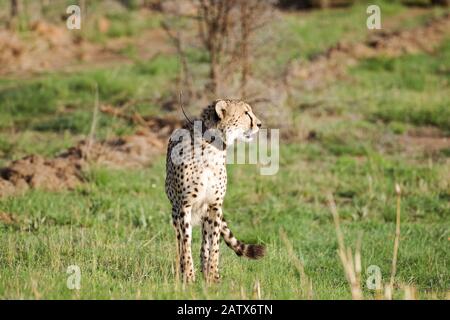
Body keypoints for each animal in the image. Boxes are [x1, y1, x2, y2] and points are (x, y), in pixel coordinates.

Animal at [164, 99, 264, 282]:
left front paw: (212, 276)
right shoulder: (185, 206)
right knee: (180, 242)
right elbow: (186, 243)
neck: (211, 148)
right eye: (246, 113)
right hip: (175, 211)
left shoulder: (215, 206)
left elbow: (215, 244)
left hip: (205, 215)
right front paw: (189, 276)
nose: (259, 124)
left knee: (205, 244)